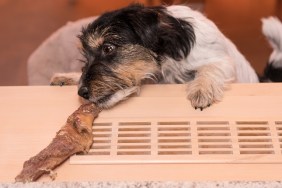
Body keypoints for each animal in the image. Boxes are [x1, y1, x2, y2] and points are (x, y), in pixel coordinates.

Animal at [51, 4, 282, 110]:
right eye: (86, 56)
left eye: (108, 48)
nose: (82, 92)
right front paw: (67, 77)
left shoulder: (221, 61)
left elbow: (211, 68)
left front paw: (201, 90)